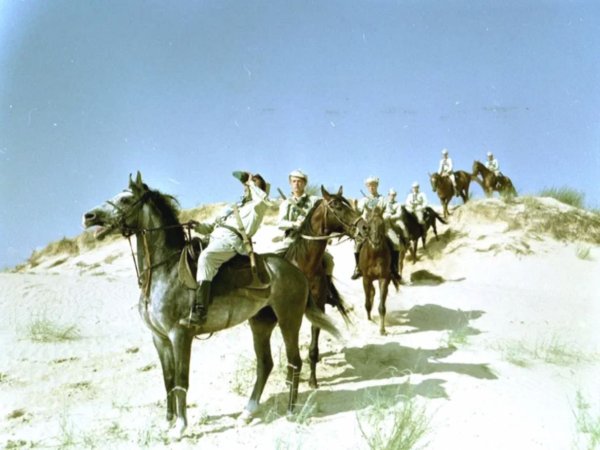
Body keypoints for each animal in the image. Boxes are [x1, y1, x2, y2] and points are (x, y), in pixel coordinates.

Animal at [82, 172, 342, 440]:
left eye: (125, 199)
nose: (88, 217)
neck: (165, 269)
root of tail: (296, 271)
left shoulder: (179, 335)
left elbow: (181, 380)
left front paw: (180, 427)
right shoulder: (160, 338)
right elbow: (168, 380)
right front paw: (168, 422)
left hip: (289, 320)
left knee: (294, 361)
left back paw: (291, 411)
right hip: (261, 323)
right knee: (265, 364)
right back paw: (247, 413)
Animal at [284, 186, 366, 388]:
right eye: (337, 205)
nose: (365, 227)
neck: (306, 266)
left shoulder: (319, 307)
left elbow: (313, 348)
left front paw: (313, 381)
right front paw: (290, 378)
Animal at [358, 207, 399, 335]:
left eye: (382, 224)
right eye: (369, 226)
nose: (375, 243)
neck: (375, 255)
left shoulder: (384, 278)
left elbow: (382, 307)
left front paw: (382, 329)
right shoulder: (366, 279)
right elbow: (367, 303)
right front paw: (369, 319)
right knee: (371, 292)